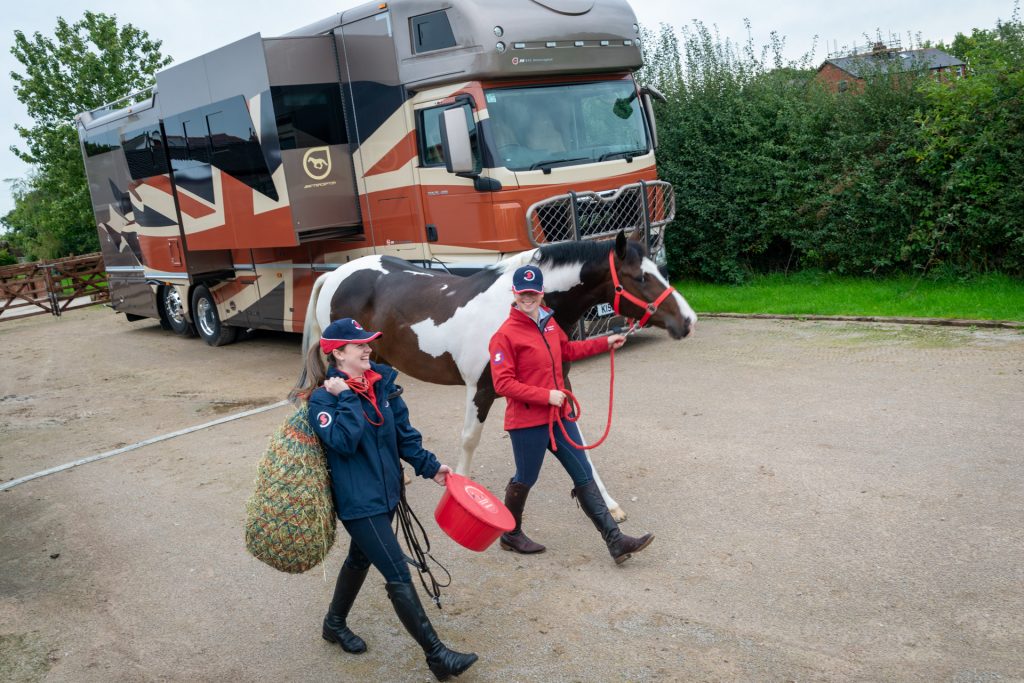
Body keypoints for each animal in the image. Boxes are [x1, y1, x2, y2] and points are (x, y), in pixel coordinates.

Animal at [296, 232, 696, 520]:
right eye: (640, 277)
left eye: (662, 271)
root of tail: (334, 274)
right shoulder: (481, 389)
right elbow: (469, 440)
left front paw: (609, 505)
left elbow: (577, 442)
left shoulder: (557, 386)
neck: (516, 311)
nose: (688, 321)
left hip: (377, 360)